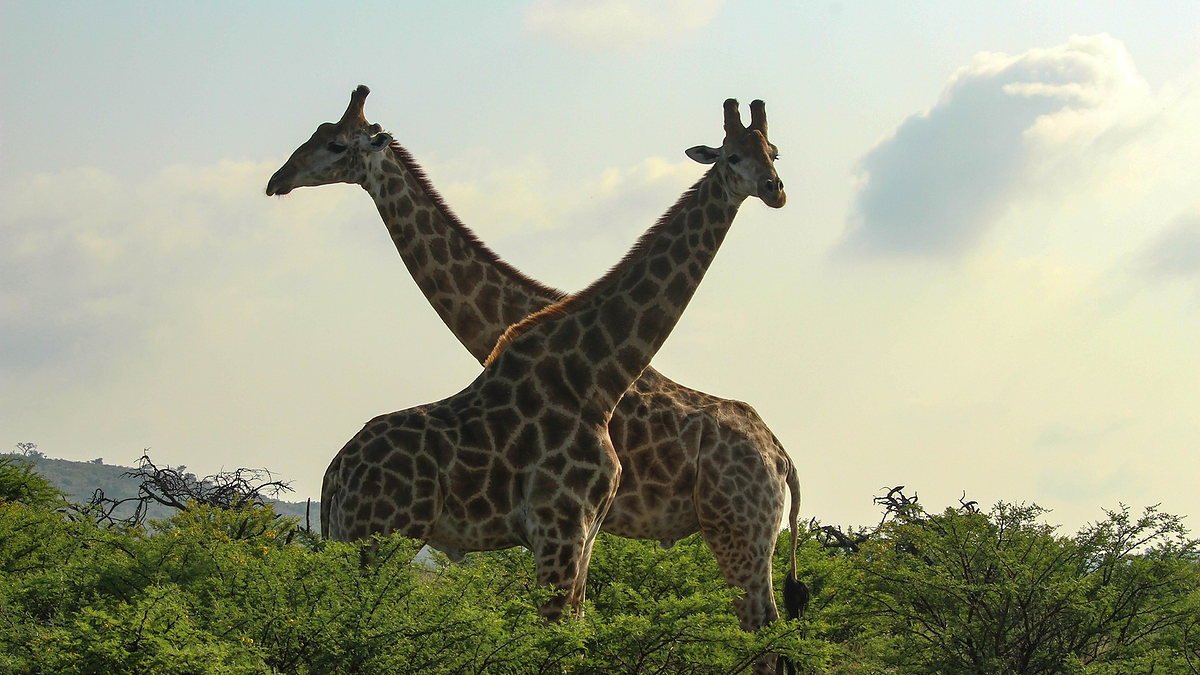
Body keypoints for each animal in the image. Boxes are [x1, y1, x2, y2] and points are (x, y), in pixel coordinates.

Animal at [266, 87, 806, 636]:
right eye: (733, 156)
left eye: (773, 152)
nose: (775, 189)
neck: (595, 372)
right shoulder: (562, 530)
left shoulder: (576, 533)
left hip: (739, 529)